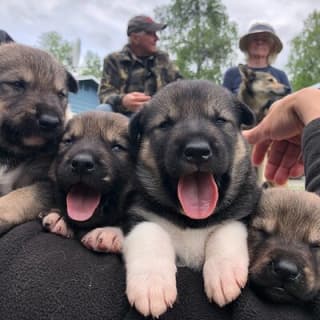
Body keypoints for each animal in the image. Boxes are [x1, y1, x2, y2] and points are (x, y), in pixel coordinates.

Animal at [124, 80, 262, 318]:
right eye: (165, 124)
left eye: (219, 120)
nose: (197, 151)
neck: (192, 220)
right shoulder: (138, 214)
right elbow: (150, 234)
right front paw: (151, 284)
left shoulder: (242, 213)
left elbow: (225, 230)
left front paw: (224, 271)